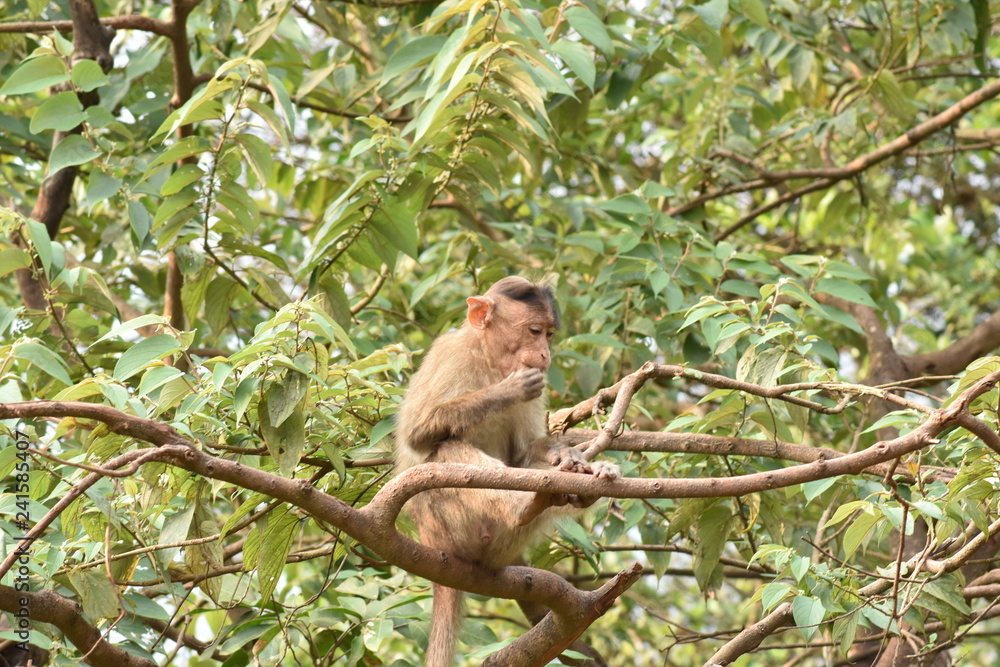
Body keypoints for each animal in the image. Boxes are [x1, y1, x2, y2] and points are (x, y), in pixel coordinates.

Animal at [394, 276, 619, 667]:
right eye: (534, 331)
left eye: (549, 334)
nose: (546, 356)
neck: (489, 359)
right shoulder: (449, 354)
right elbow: (417, 433)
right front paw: (508, 390)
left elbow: (525, 450)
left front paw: (571, 456)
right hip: (445, 526)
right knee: (445, 449)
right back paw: (524, 505)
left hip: (502, 543)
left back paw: (572, 489)